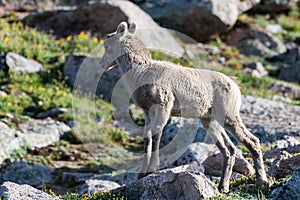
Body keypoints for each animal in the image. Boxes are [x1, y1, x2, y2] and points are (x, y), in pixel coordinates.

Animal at [99, 21, 270, 192]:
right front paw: (141, 174)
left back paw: (262, 182)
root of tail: (235, 85)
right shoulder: (147, 112)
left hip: (229, 116)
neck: (141, 73)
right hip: (210, 121)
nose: (101, 64)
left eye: (108, 45)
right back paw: (223, 187)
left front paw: (152, 170)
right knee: (229, 150)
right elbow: (147, 137)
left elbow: (156, 135)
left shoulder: (163, 106)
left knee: (252, 141)